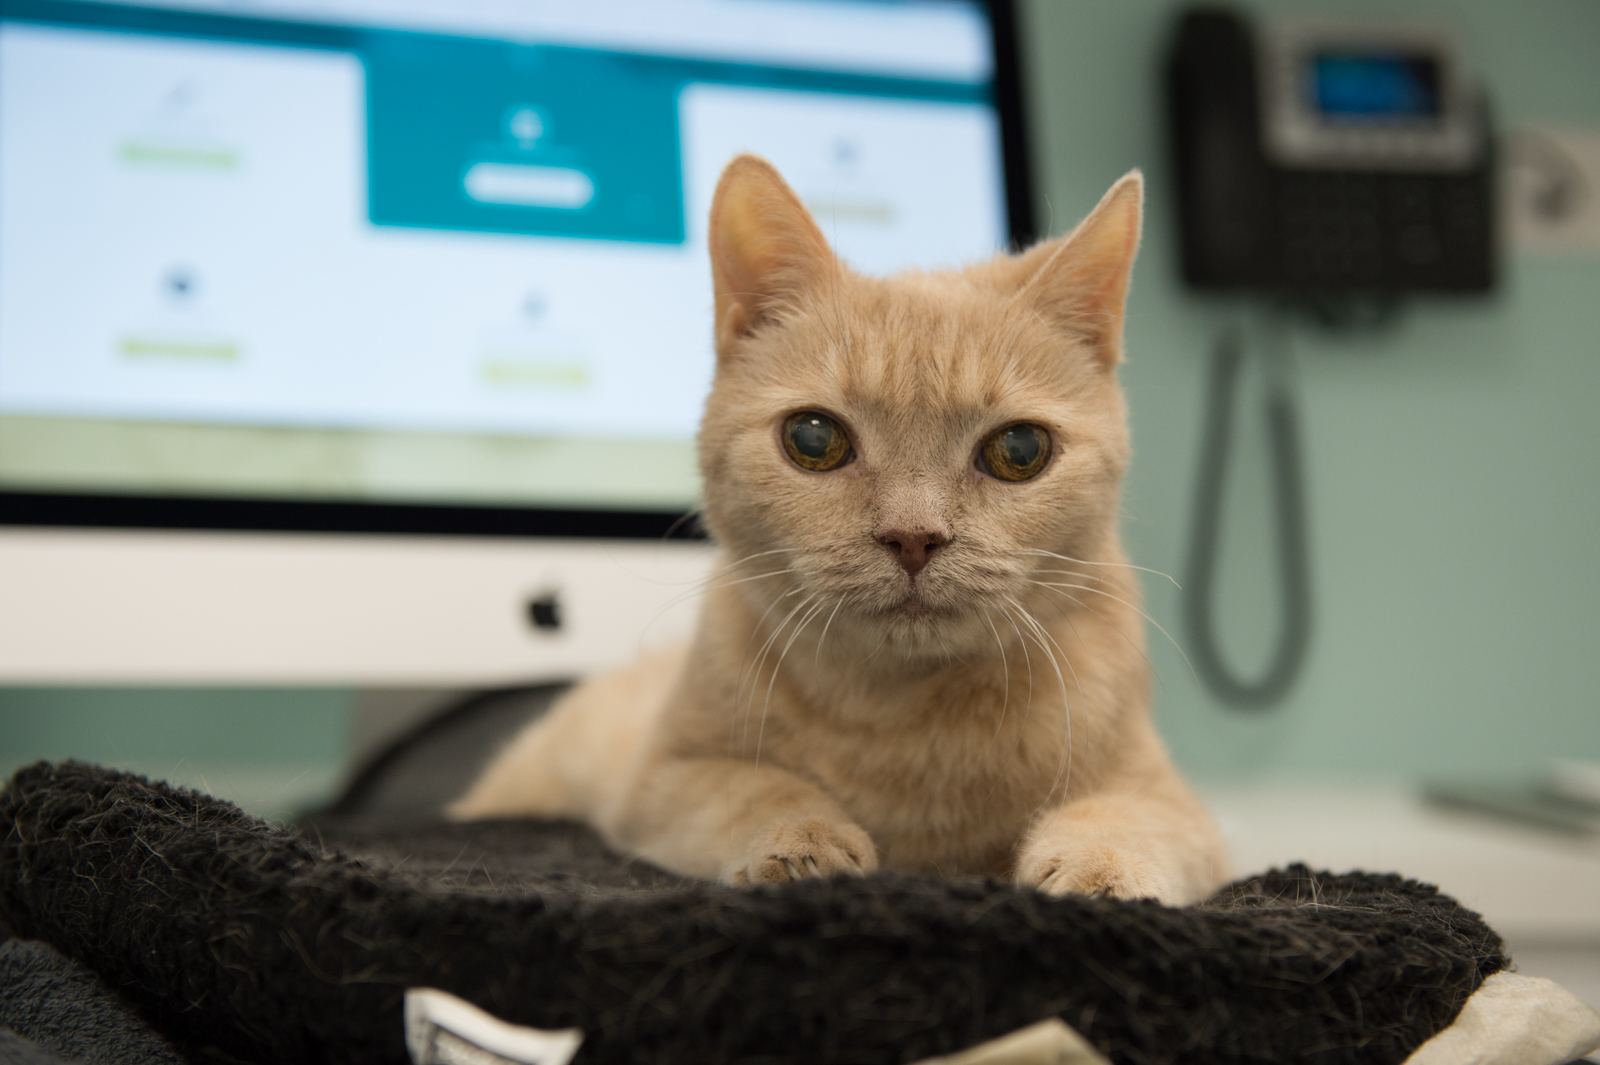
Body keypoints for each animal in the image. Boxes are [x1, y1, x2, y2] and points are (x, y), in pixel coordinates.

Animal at [451, 153, 1222, 901]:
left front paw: (1103, 867)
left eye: (1021, 449)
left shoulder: (1173, 798)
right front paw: (802, 838)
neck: (907, 720)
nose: (914, 536)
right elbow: (755, 787)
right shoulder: (661, 777)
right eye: (814, 438)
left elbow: (1126, 814)